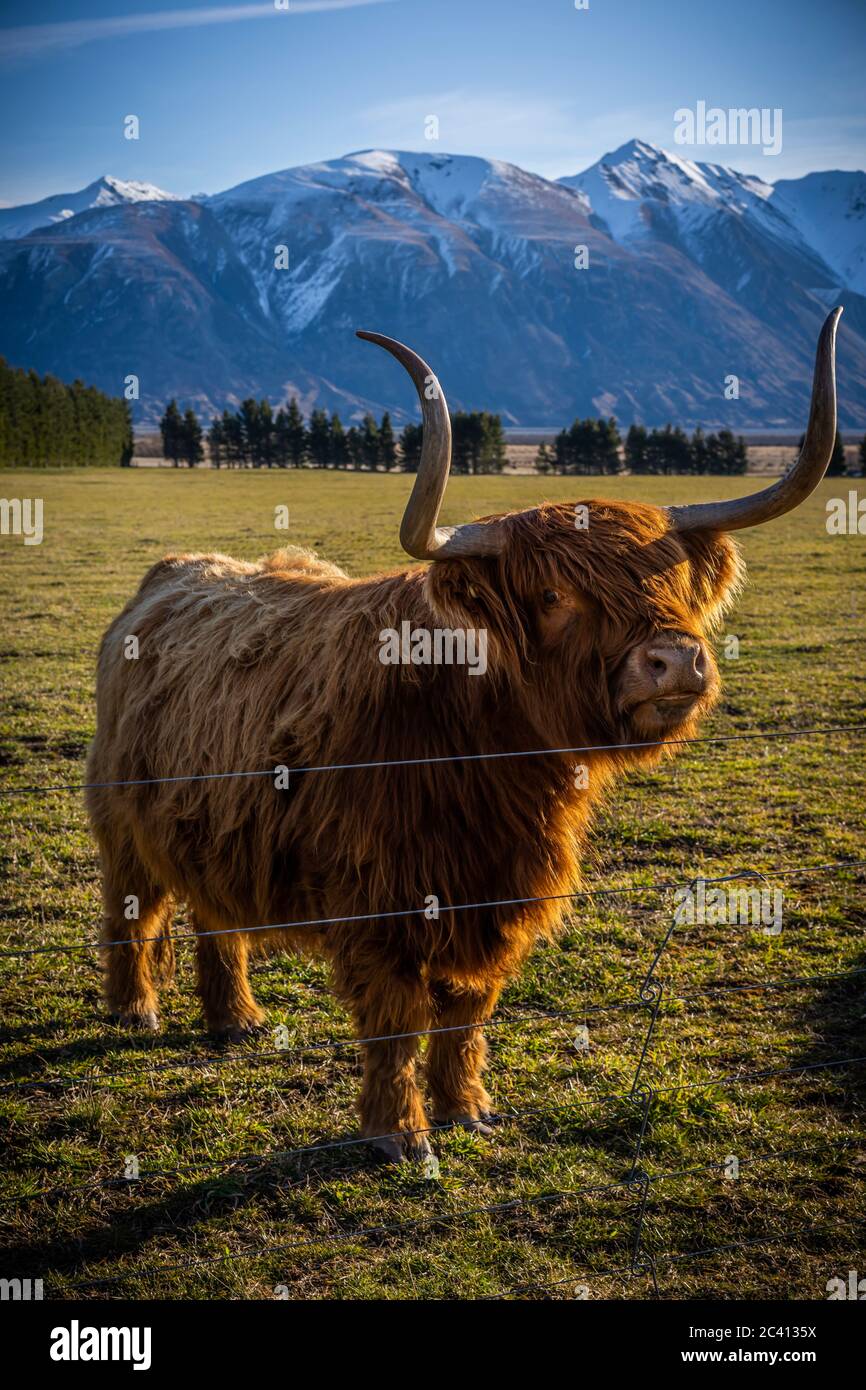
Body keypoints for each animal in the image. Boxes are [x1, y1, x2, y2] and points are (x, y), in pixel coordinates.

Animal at [86, 309, 842, 1161]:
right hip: (123, 820)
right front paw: (400, 1135)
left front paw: (467, 1108)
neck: (481, 749)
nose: (676, 659)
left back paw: (237, 1019)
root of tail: (173, 573)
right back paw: (135, 1009)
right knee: (132, 907)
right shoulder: (381, 899)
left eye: (674, 582)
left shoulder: (494, 892)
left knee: (217, 916)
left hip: (217, 827)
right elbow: (395, 1017)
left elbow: (465, 1007)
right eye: (553, 594)